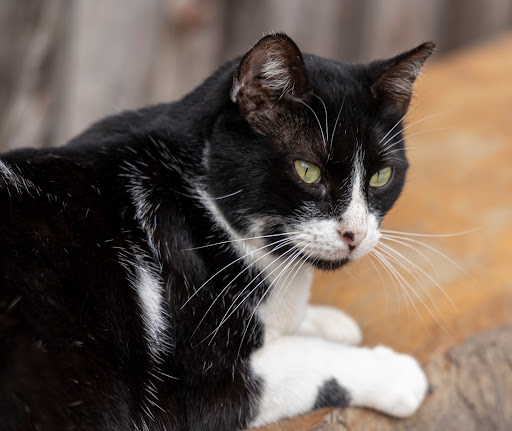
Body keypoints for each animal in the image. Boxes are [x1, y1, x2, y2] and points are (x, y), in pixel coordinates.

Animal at [0, 33, 434, 431]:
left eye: (381, 176)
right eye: (307, 171)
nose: (355, 233)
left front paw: (326, 322)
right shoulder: (202, 384)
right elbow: (307, 358)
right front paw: (395, 374)